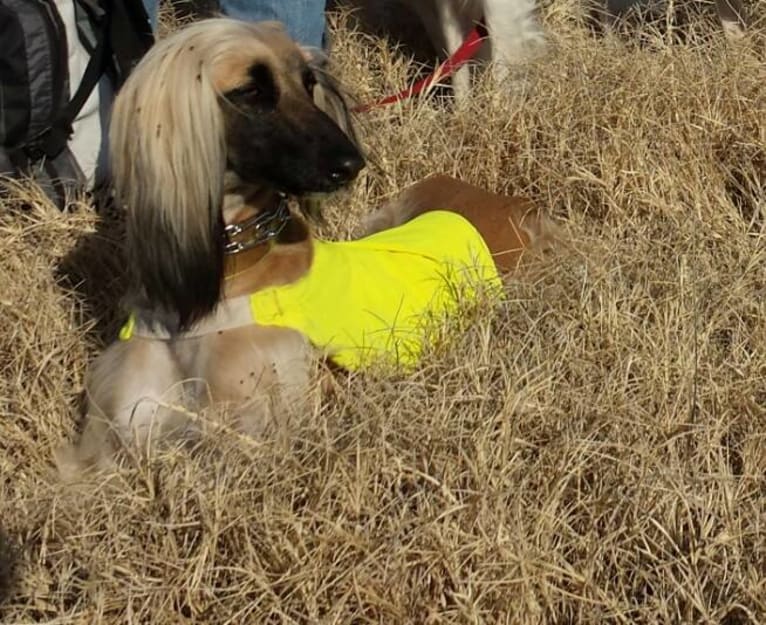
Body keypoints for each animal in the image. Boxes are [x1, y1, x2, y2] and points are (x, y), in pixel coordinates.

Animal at [55, 18, 560, 478]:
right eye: (250, 91)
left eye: (308, 82)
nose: (351, 164)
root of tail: (512, 202)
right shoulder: (111, 442)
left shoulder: (250, 432)